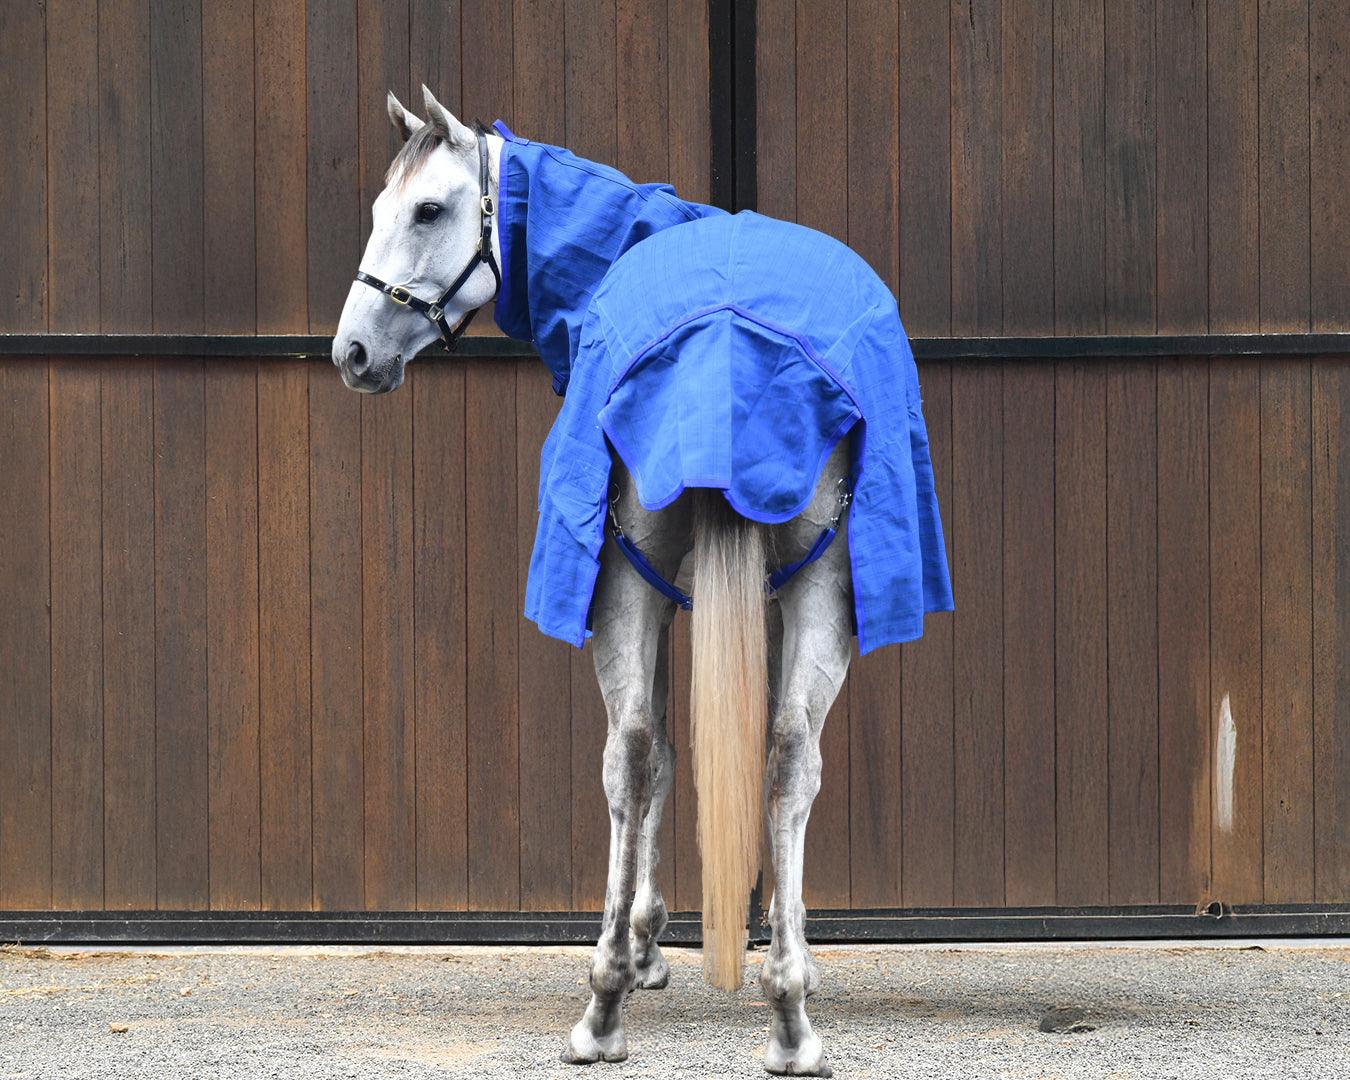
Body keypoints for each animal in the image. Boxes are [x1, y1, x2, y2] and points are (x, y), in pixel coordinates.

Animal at [332, 85, 952, 1077]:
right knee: (759, 756)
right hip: (764, 583)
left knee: (650, 752)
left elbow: (664, 747)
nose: (352, 353)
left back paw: (625, 1002)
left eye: (426, 210)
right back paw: (761, 1010)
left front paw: (659, 941)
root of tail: (728, 333)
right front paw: (670, 939)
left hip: (653, 577)